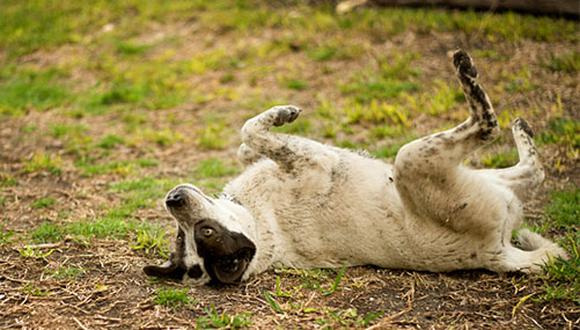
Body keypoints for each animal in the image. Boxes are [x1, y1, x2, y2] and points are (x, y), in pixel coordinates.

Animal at [144, 50, 568, 284]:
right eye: (205, 233)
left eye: (183, 235)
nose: (172, 198)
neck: (263, 227)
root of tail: (495, 256)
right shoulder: (314, 161)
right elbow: (253, 129)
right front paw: (282, 115)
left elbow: (247, 142)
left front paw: (263, 134)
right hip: (416, 161)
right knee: (491, 130)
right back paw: (470, 77)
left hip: (475, 177)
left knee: (530, 171)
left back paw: (520, 127)